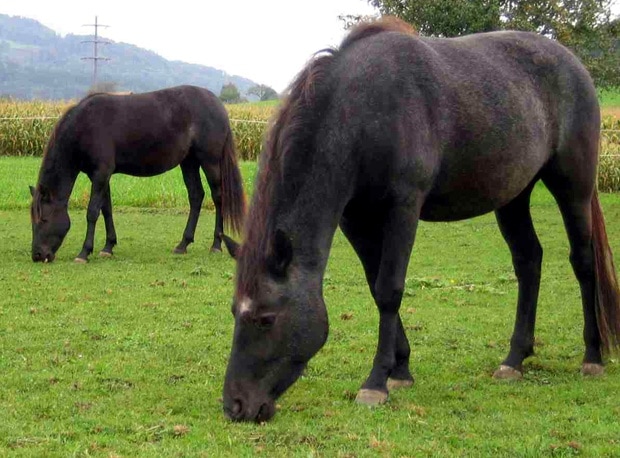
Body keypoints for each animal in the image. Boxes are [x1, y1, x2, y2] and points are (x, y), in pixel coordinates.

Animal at [29, 85, 245, 262]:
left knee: (218, 197)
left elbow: (92, 212)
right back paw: (183, 244)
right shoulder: (102, 176)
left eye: (43, 219)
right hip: (189, 162)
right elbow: (106, 209)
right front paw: (108, 247)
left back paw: (216, 245)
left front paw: (84, 252)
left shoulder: (100, 175)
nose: (37, 255)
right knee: (196, 196)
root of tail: (217, 103)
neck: (84, 126)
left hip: (210, 162)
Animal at [222, 18, 620, 422]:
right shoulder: (355, 219)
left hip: (573, 186)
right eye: (235, 313)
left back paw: (592, 357)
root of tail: (574, 64)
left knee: (583, 262)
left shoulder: (403, 206)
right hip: (513, 195)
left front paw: (376, 382)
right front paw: (400, 370)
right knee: (528, 262)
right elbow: (375, 286)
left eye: (266, 318)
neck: (362, 112)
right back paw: (514, 360)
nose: (235, 405)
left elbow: (389, 289)